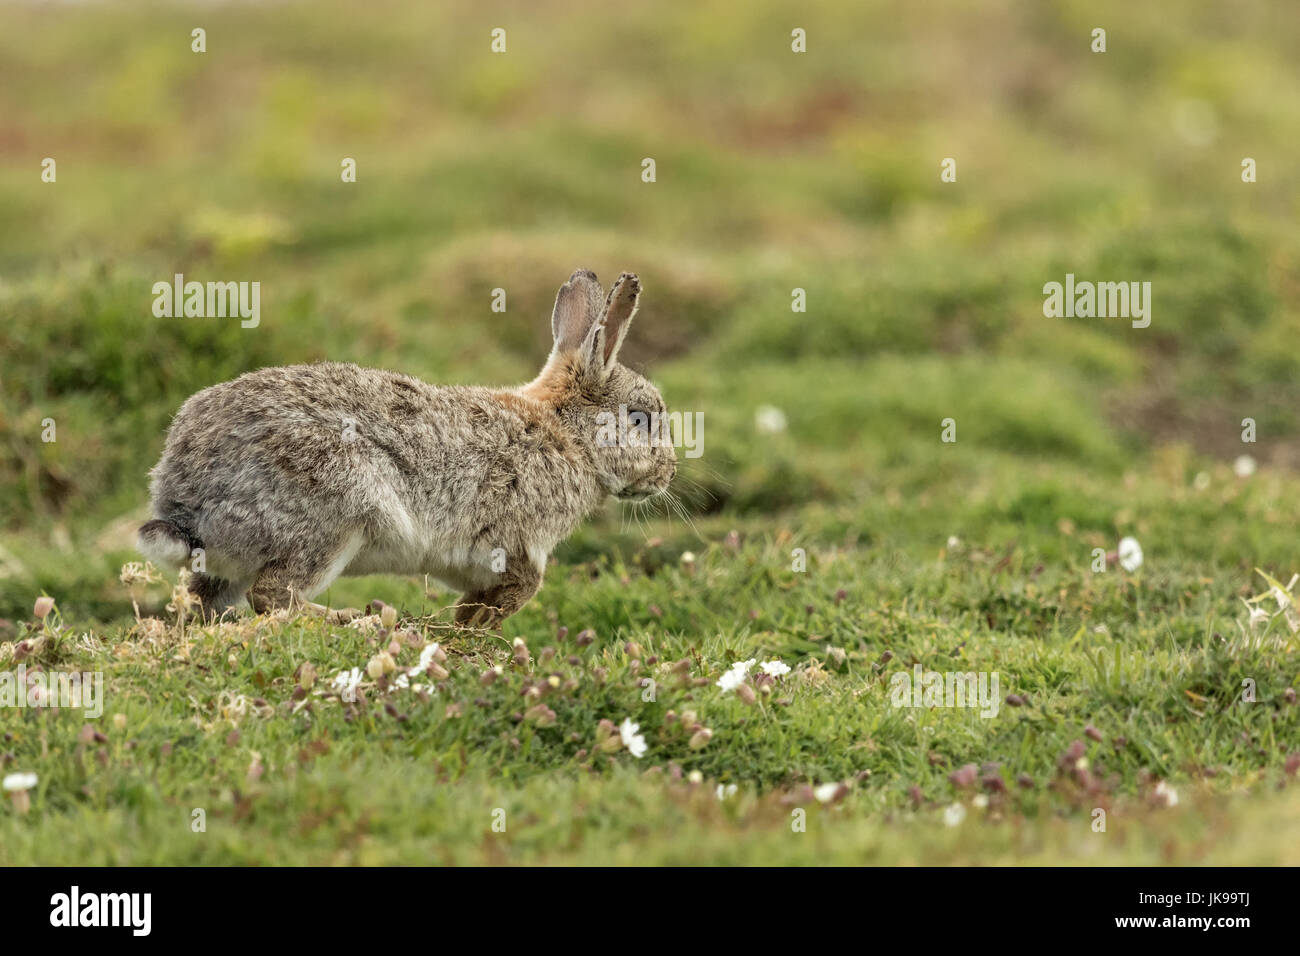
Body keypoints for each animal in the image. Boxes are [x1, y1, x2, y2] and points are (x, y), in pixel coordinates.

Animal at [137, 269, 677, 626]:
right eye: (640, 418)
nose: (667, 474)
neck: (570, 438)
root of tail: (183, 502)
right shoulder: (517, 543)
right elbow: (518, 591)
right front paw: (469, 629)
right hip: (336, 513)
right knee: (272, 596)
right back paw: (357, 618)